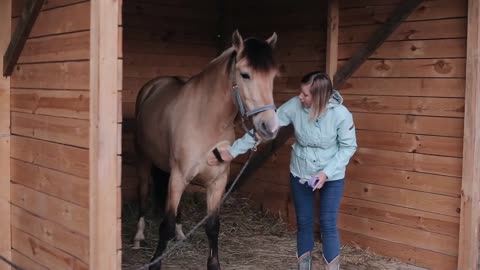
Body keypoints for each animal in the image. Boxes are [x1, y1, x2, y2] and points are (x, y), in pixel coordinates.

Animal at [133, 30, 280, 270]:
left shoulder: (217, 181)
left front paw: (214, 264)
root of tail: (153, 86)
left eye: (273, 77)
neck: (206, 120)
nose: (270, 127)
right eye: (245, 74)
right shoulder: (178, 177)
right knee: (143, 194)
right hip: (144, 160)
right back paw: (138, 237)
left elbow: (212, 226)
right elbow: (165, 225)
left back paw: (181, 235)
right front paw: (155, 263)